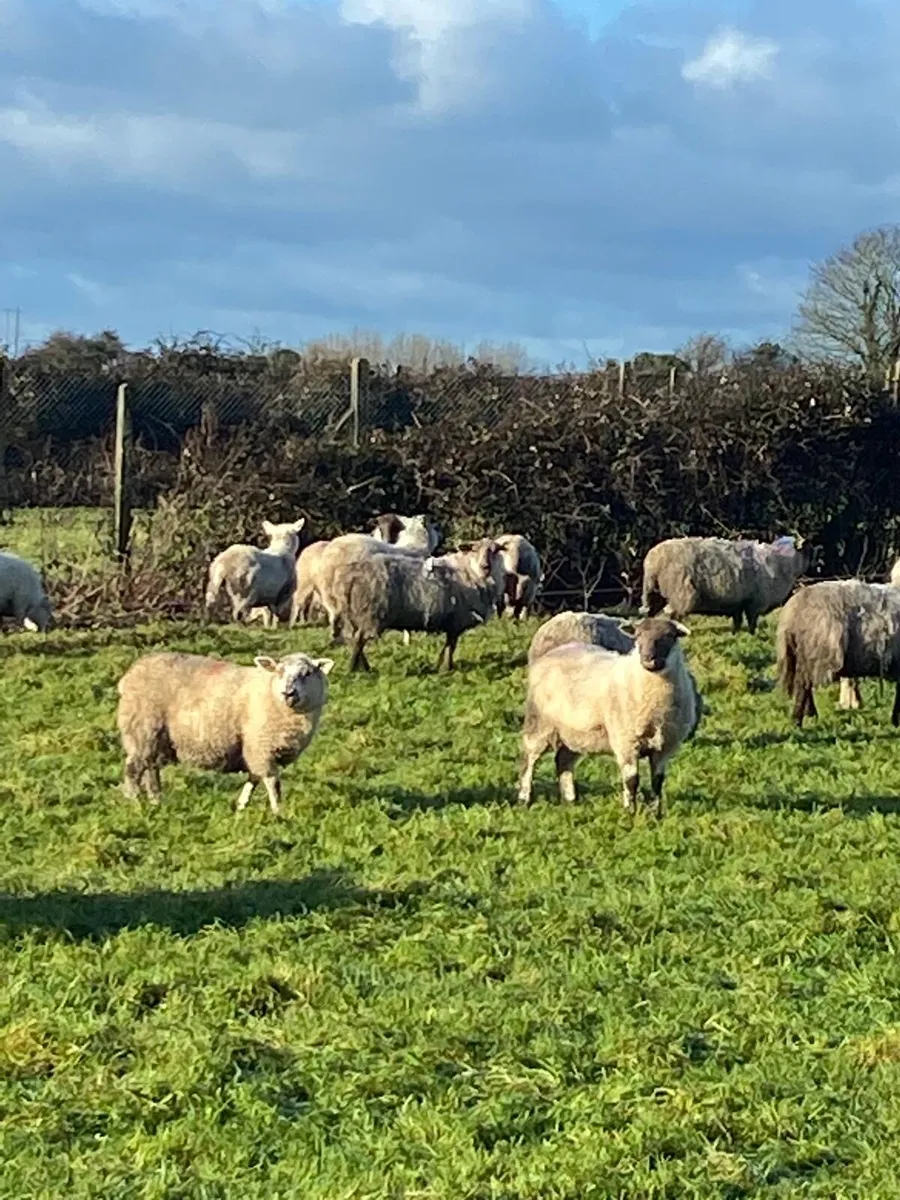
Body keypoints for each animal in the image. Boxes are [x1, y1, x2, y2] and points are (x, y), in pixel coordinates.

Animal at [116, 650, 334, 813]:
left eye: (307, 674)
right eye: (279, 671)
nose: (288, 693)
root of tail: (129, 675)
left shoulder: (255, 748)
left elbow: (254, 778)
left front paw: (241, 806)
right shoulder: (261, 746)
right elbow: (273, 783)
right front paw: (279, 812)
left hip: (155, 737)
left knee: (151, 768)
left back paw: (156, 800)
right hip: (142, 729)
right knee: (133, 769)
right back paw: (135, 802)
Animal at [336, 538, 502, 672]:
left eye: (494, 551)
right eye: (475, 549)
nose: (486, 566)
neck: (470, 571)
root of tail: (352, 575)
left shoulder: (452, 623)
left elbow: (448, 645)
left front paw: (442, 666)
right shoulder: (457, 620)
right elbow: (452, 646)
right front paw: (447, 668)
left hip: (356, 614)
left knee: (354, 639)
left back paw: (364, 668)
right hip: (370, 613)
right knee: (359, 640)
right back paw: (354, 670)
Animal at [517, 616, 700, 816]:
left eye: (669, 636)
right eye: (638, 636)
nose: (648, 660)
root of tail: (555, 652)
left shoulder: (664, 747)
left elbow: (657, 782)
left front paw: (656, 813)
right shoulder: (626, 741)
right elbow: (632, 781)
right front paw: (631, 813)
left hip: (576, 732)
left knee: (563, 760)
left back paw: (570, 801)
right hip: (540, 723)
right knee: (529, 759)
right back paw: (524, 799)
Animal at [642, 534, 813, 633]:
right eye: (807, 548)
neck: (782, 560)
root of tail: (653, 560)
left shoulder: (738, 603)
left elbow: (737, 622)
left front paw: (736, 636)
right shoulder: (755, 602)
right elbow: (752, 623)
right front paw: (752, 637)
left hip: (656, 593)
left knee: (652, 614)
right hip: (681, 593)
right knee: (672, 614)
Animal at [777, 579, 900, 728]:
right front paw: (896, 721)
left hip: (805, 654)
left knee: (804, 685)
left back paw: (810, 714)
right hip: (814, 651)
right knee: (803, 685)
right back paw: (797, 720)